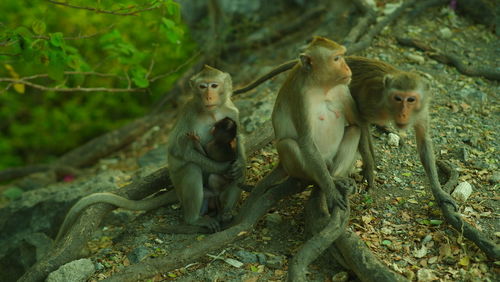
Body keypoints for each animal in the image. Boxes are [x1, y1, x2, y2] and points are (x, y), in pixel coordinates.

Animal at [55, 65, 245, 241]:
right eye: (202, 87)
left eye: (214, 85)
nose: (208, 96)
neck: (212, 112)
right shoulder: (188, 111)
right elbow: (178, 150)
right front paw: (222, 166)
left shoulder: (232, 110)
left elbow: (239, 140)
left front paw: (239, 164)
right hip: (186, 189)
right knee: (191, 168)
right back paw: (194, 219)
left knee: (237, 177)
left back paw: (227, 210)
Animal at [254, 36, 360, 210]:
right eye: (336, 58)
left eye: (342, 56)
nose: (347, 68)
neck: (321, 86)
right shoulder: (301, 97)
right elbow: (306, 142)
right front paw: (331, 191)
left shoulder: (343, 87)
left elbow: (355, 124)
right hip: (303, 165)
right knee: (288, 144)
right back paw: (324, 180)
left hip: (330, 160)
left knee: (353, 131)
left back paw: (336, 176)